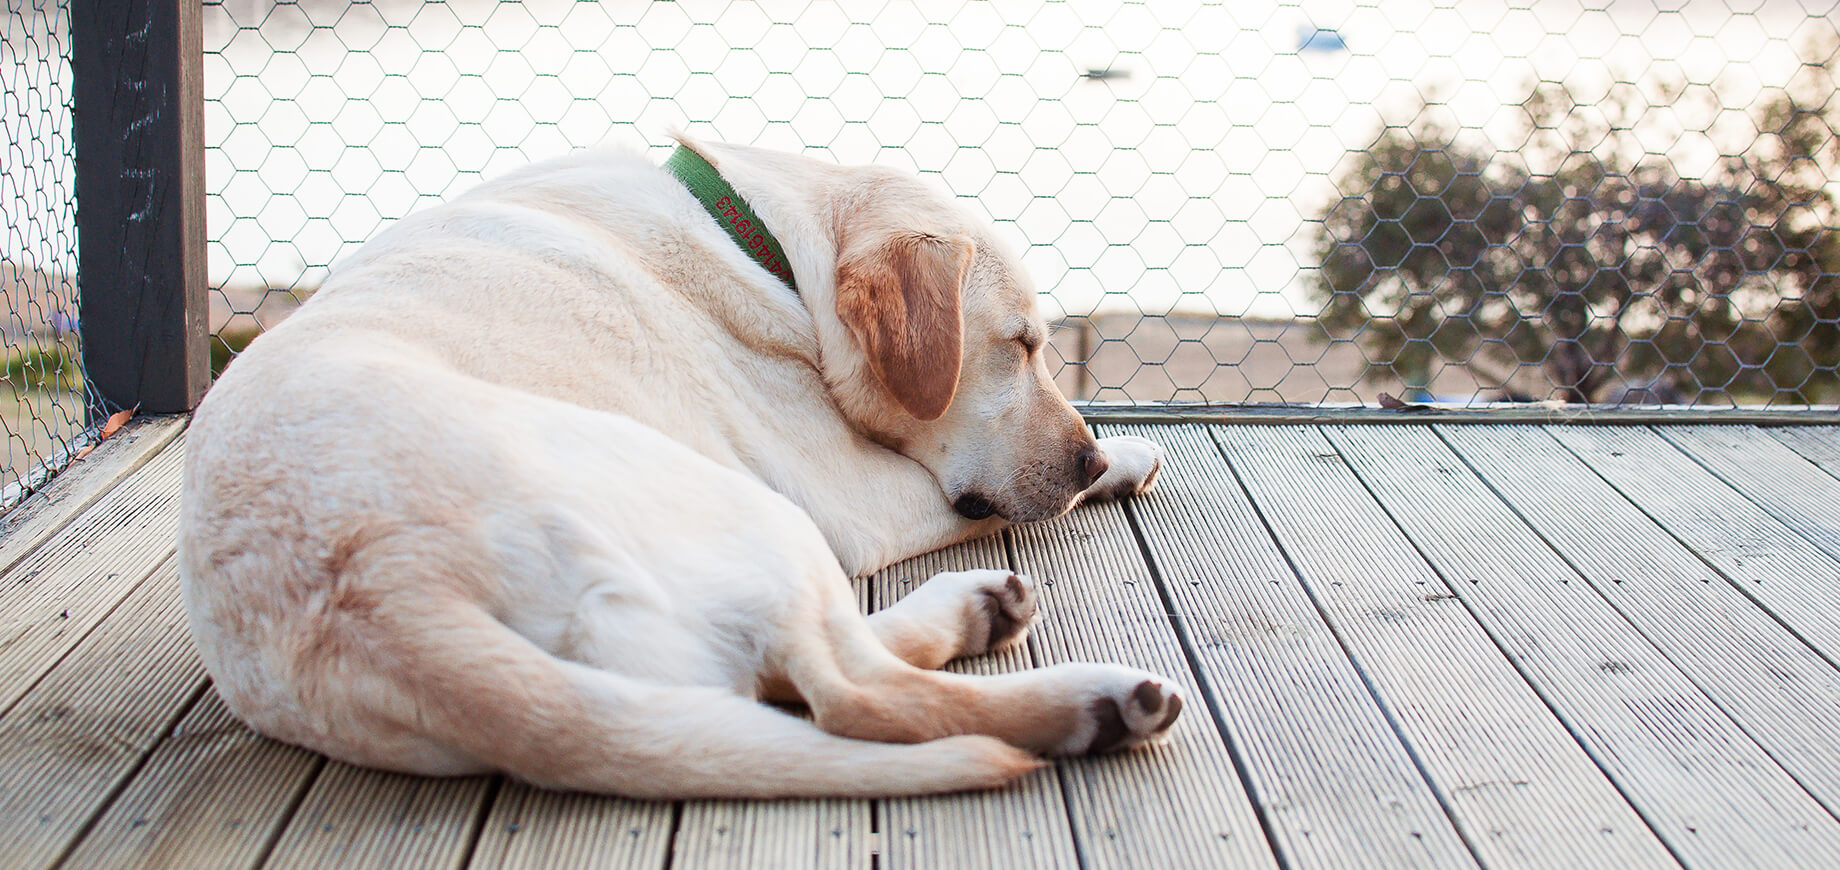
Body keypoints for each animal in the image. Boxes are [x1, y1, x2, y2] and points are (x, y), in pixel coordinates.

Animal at [175, 137, 1177, 801]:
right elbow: (986, 504)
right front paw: (1113, 460)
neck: (765, 249)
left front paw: (1118, 455)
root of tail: (386, 597)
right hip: (751, 510)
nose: (1085, 457)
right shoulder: (852, 497)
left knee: (779, 677)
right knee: (855, 695)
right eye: (1021, 345)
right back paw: (1094, 701)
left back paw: (980, 613)